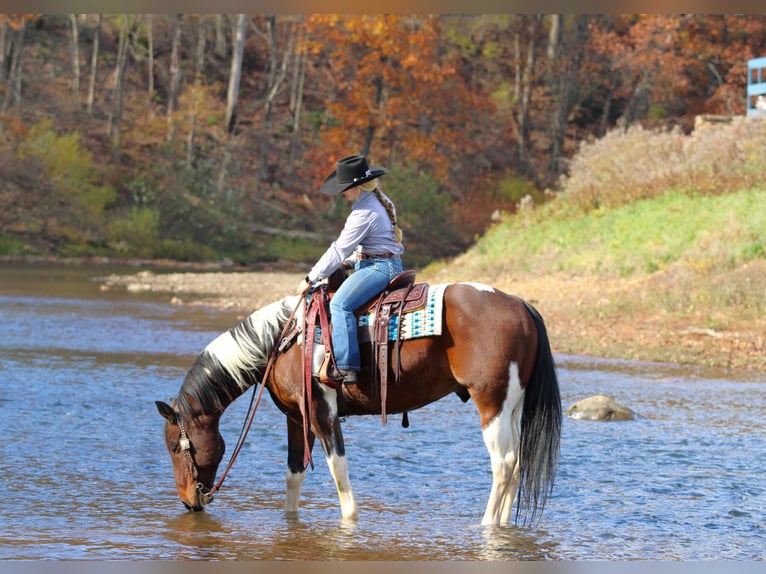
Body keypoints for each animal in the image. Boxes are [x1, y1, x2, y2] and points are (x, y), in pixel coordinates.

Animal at [156, 275, 562, 526]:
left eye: (176, 447)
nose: (189, 501)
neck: (284, 339)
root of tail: (520, 306)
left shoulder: (322, 412)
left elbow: (339, 471)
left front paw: (348, 524)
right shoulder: (296, 418)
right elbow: (293, 475)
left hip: (491, 403)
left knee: (503, 463)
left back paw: (487, 524)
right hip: (513, 405)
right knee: (518, 462)